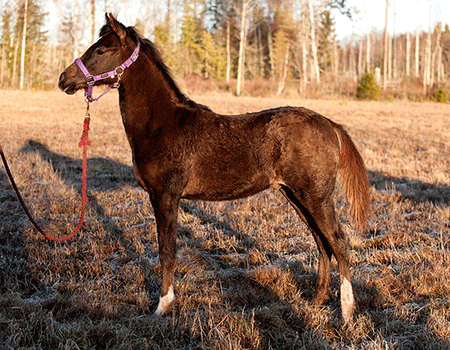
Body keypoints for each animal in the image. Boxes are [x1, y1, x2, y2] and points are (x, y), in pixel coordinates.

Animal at [59, 14, 370, 326]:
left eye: (101, 50)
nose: (64, 79)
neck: (162, 124)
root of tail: (330, 125)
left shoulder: (165, 196)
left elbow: (166, 251)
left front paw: (162, 306)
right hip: (295, 195)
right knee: (321, 241)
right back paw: (317, 300)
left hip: (315, 195)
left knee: (339, 241)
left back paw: (346, 312)